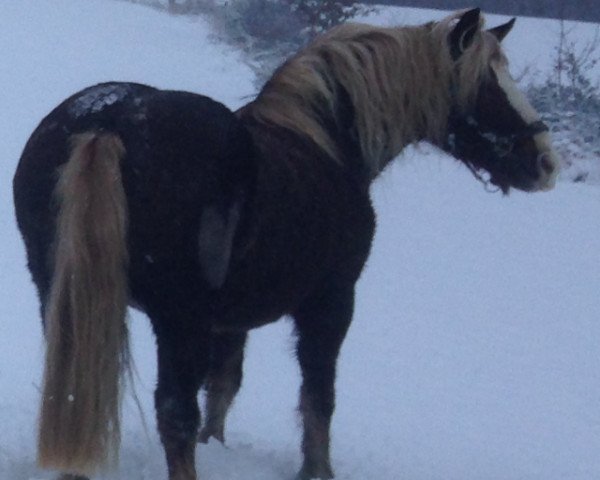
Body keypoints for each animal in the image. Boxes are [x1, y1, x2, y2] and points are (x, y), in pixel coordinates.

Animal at [11, 7, 560, 480]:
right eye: (487, 83)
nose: (545, 162)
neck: (327, 142)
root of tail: (111, 122)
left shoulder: (229, 320)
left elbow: (224, 386)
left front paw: (219, 446)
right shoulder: (331, 303)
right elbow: (318, 395)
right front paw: (317, 471)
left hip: (65, 297)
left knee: (74, 396)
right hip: (179, 319)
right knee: (173, 414)